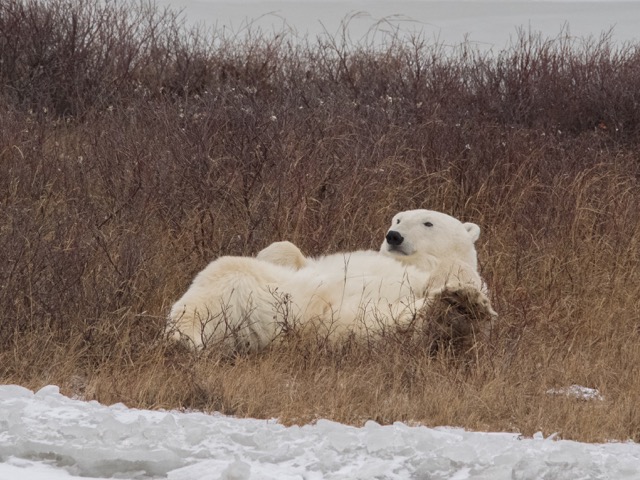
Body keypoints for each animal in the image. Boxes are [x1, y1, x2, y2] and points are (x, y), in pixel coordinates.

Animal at [167, 209, 495, 352]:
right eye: (398, 219)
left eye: (428, 222)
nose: (393, 236)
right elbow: (289, 254)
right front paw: (271, 250)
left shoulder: (450, 273)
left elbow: (455, 277)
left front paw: (463, 295)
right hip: (276, 295)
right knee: (223, 273)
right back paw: (183, 339)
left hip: (356, 326)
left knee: (406, 327)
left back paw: (454, 309)